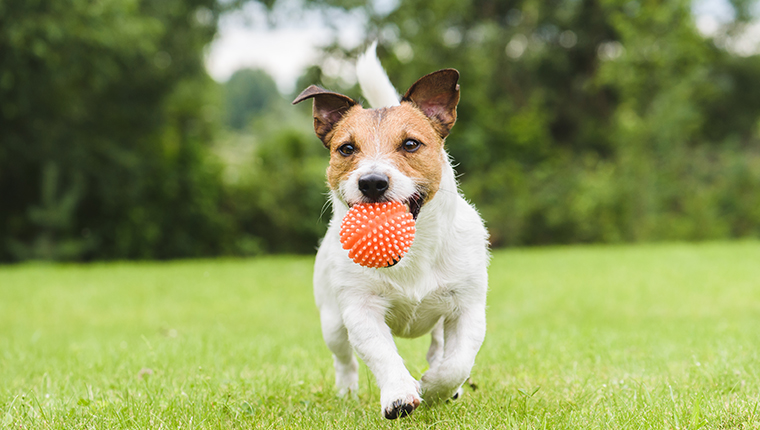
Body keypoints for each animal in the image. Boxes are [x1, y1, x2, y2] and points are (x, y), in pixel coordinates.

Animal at [290, 44, 486, 420]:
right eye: (346, 149)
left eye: (410, 144)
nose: (372, 182)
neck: (412, 252)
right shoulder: (360, 309)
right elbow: (382, 353)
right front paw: (399, 395)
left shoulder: (467, 307)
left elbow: (457, 363)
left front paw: (435, 387)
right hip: (332, 321)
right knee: (344, 359)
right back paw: (347, 392)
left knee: (439, 346)